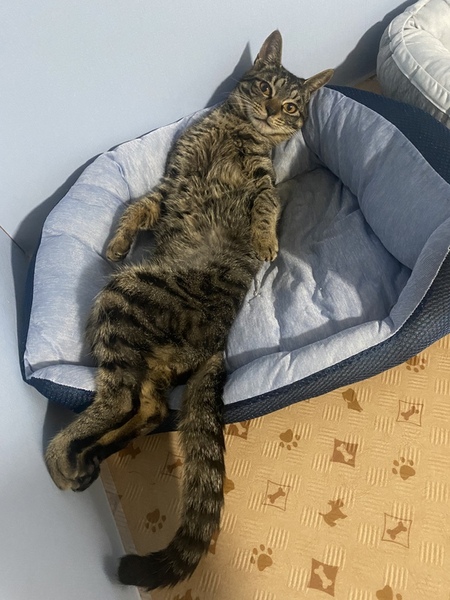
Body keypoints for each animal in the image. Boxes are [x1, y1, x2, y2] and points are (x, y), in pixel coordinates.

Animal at [44, 30, 333, 589]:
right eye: (265, 87)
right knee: (151, 410)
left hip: (123, 297)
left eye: (291, 106)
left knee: (121, 402)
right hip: (143, 348)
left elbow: (267, 206)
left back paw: (63, 457)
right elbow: (136, 206)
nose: (271, 111)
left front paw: (265, 242)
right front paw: (117, 241)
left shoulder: (262, 182)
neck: (237, 130)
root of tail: (219, 344)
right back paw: (90, 453)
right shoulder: (171, 180)